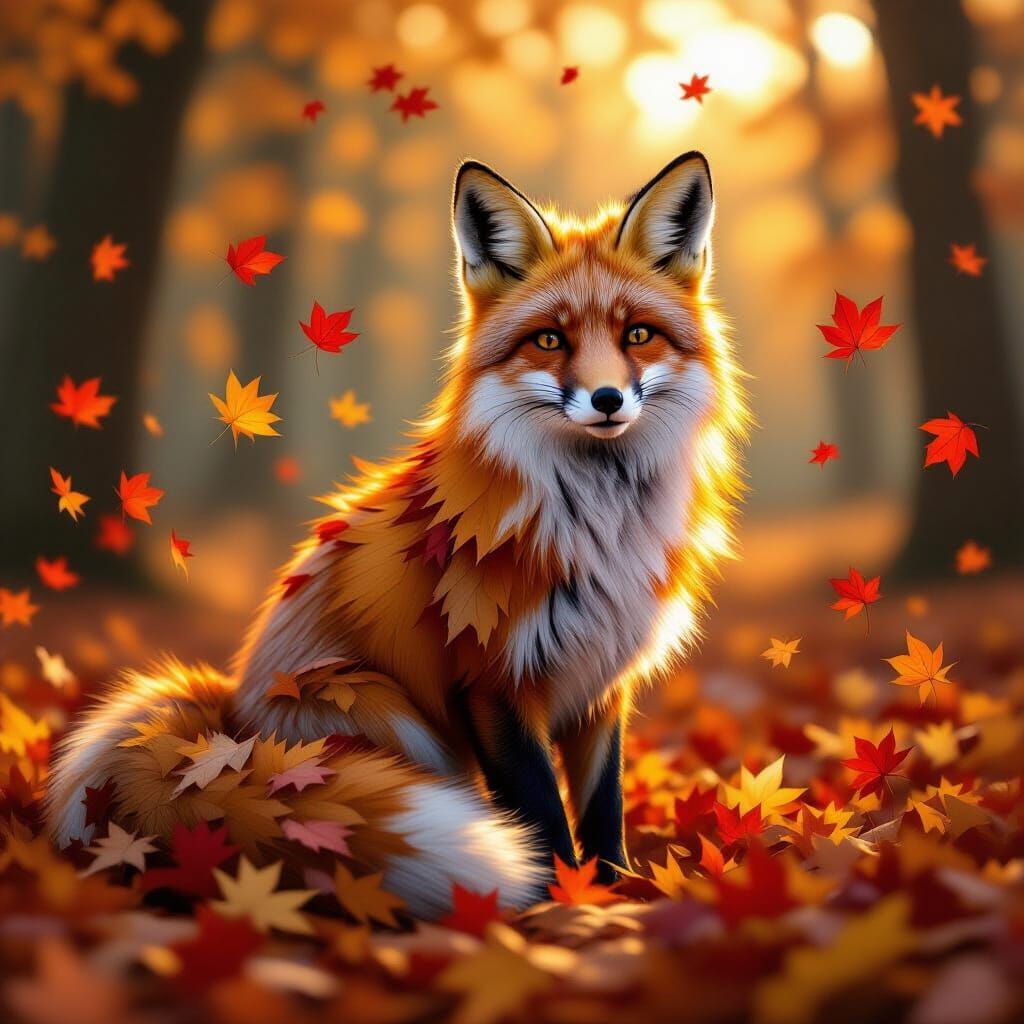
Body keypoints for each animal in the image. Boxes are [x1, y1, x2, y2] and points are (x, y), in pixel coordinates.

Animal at [47, 152, 748, 919]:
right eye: (550, 340)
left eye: (638, 335)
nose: (607, 399)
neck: (598, 525)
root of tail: (228, 729)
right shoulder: (491, 677)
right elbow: (539, 811)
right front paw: (554, 898)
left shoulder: (600, 682)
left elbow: (602, 808)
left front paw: (615, 893)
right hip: (376, 705)